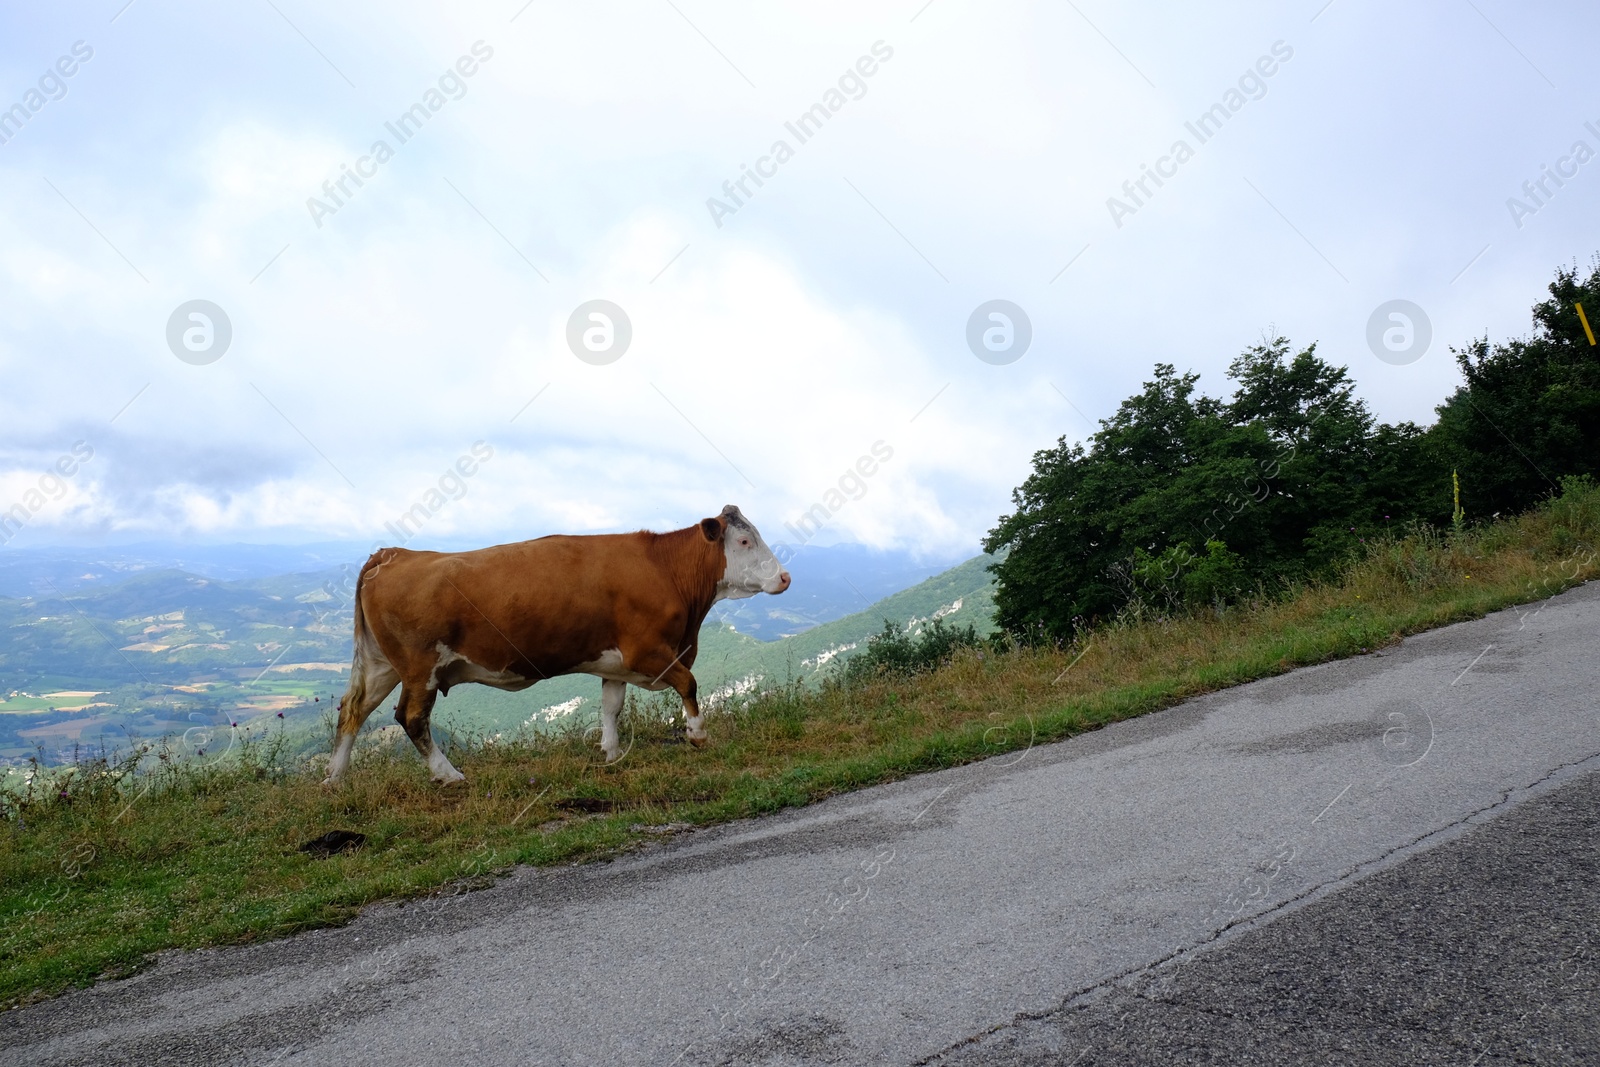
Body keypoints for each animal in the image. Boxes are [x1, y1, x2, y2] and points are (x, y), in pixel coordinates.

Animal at [320, 502, 787, 783]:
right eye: (744, 540)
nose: (784, 577)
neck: (665, 570)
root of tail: (393, 554)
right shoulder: (650, 651)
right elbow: (689, 683)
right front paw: (698, 735)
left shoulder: (615, 661)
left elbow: (611, 705)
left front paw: (610, 752)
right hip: (420, 667)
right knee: (412, 718)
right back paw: (449, 775)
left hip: (381, 663)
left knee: (353, 710)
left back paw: (335, 779)